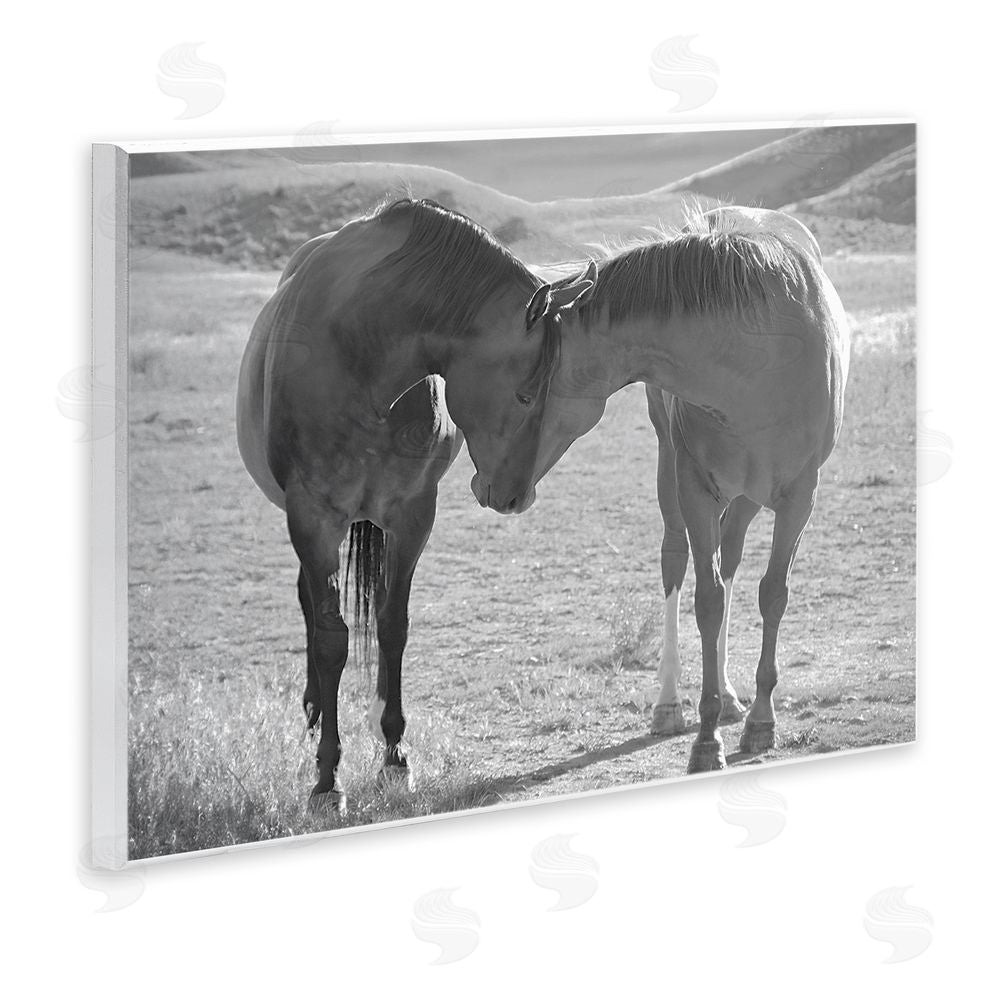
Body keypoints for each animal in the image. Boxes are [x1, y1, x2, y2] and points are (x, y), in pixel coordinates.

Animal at [236, 198, 594, 810]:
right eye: (527, 394)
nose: (515, 496)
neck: (360, 353)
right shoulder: (312, 517)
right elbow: (331, 639)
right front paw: (327, 777)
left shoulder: (411, 514)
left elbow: (392, 624)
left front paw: (395, 754)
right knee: (310, 603)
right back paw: (314, 707)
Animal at [485, 206, 850, 773]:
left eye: (523, 394)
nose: (490, 488)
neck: (755, 359)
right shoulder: (694, 488)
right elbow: (706, 600)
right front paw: (705, 738)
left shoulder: (799, 496)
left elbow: (772, 593)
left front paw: (760, 721)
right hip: (673, 472)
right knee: (677, 561)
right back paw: (669, 704)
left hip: (747, 496)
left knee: (732, 558)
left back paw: (732, 696)